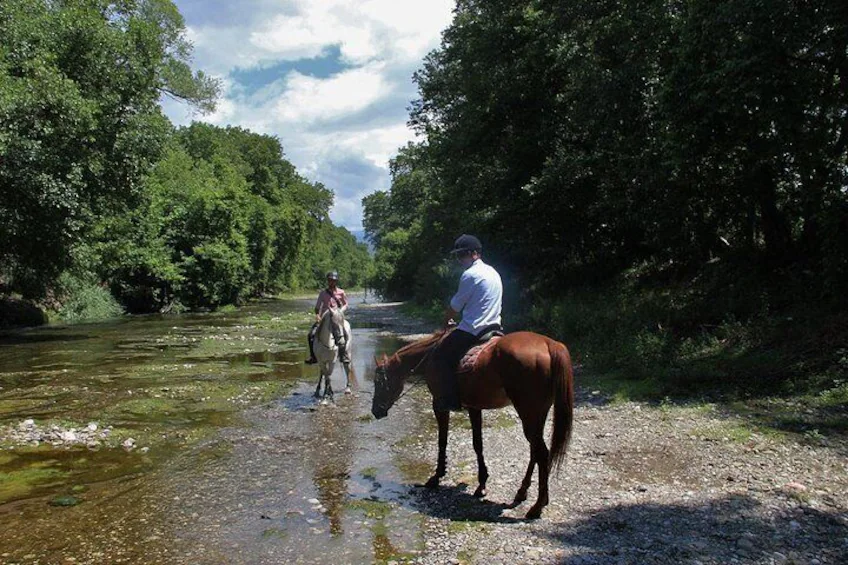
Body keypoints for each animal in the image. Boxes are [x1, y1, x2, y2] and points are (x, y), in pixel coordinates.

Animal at [371, 330, 574, 519]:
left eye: (379, 382)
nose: (375, 411)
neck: (428, 357)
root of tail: (549, 344)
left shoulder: (439, 405)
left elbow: (442, 441)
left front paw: (437, 476)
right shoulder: (474, 407)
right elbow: (478, 444)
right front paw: (482, 484)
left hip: (528, 412)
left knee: (541, 453)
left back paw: (537, 506)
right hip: (538, 413)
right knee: (535, 450)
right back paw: (522, 492)